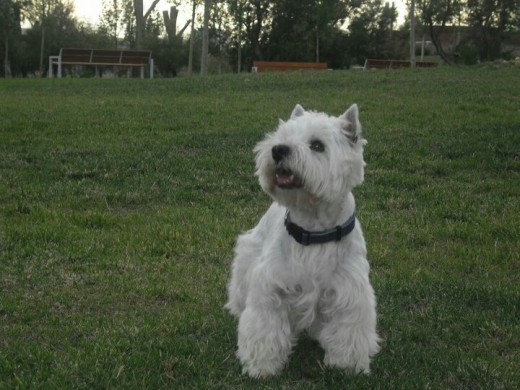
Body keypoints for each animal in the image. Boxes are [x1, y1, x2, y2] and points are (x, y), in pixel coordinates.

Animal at [225, 103, 380, 378]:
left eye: (317, 145)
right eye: (282, 136)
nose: (278, 150)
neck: (313, 229)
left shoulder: (348, 293)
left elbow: (347, 331)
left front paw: (347, 366)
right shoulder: (271, 289)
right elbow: (264, 329)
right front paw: (261, 367)